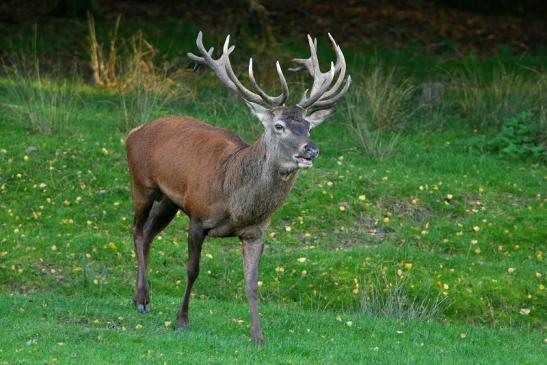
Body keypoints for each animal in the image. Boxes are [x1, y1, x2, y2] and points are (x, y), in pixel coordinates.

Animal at [125, 31, 352, 344]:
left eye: (308, 126)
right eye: (279, 126)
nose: (311, 149)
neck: (235, 202)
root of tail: (134, 131)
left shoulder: (256, 233)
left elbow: (252, 283)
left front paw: (258, 336)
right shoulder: (198, 217)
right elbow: (192, 270)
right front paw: (182, 320)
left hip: (169, 201)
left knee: (148, 234)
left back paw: (141, 298)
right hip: (141, 183)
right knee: (136, 230)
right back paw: (142, 299)